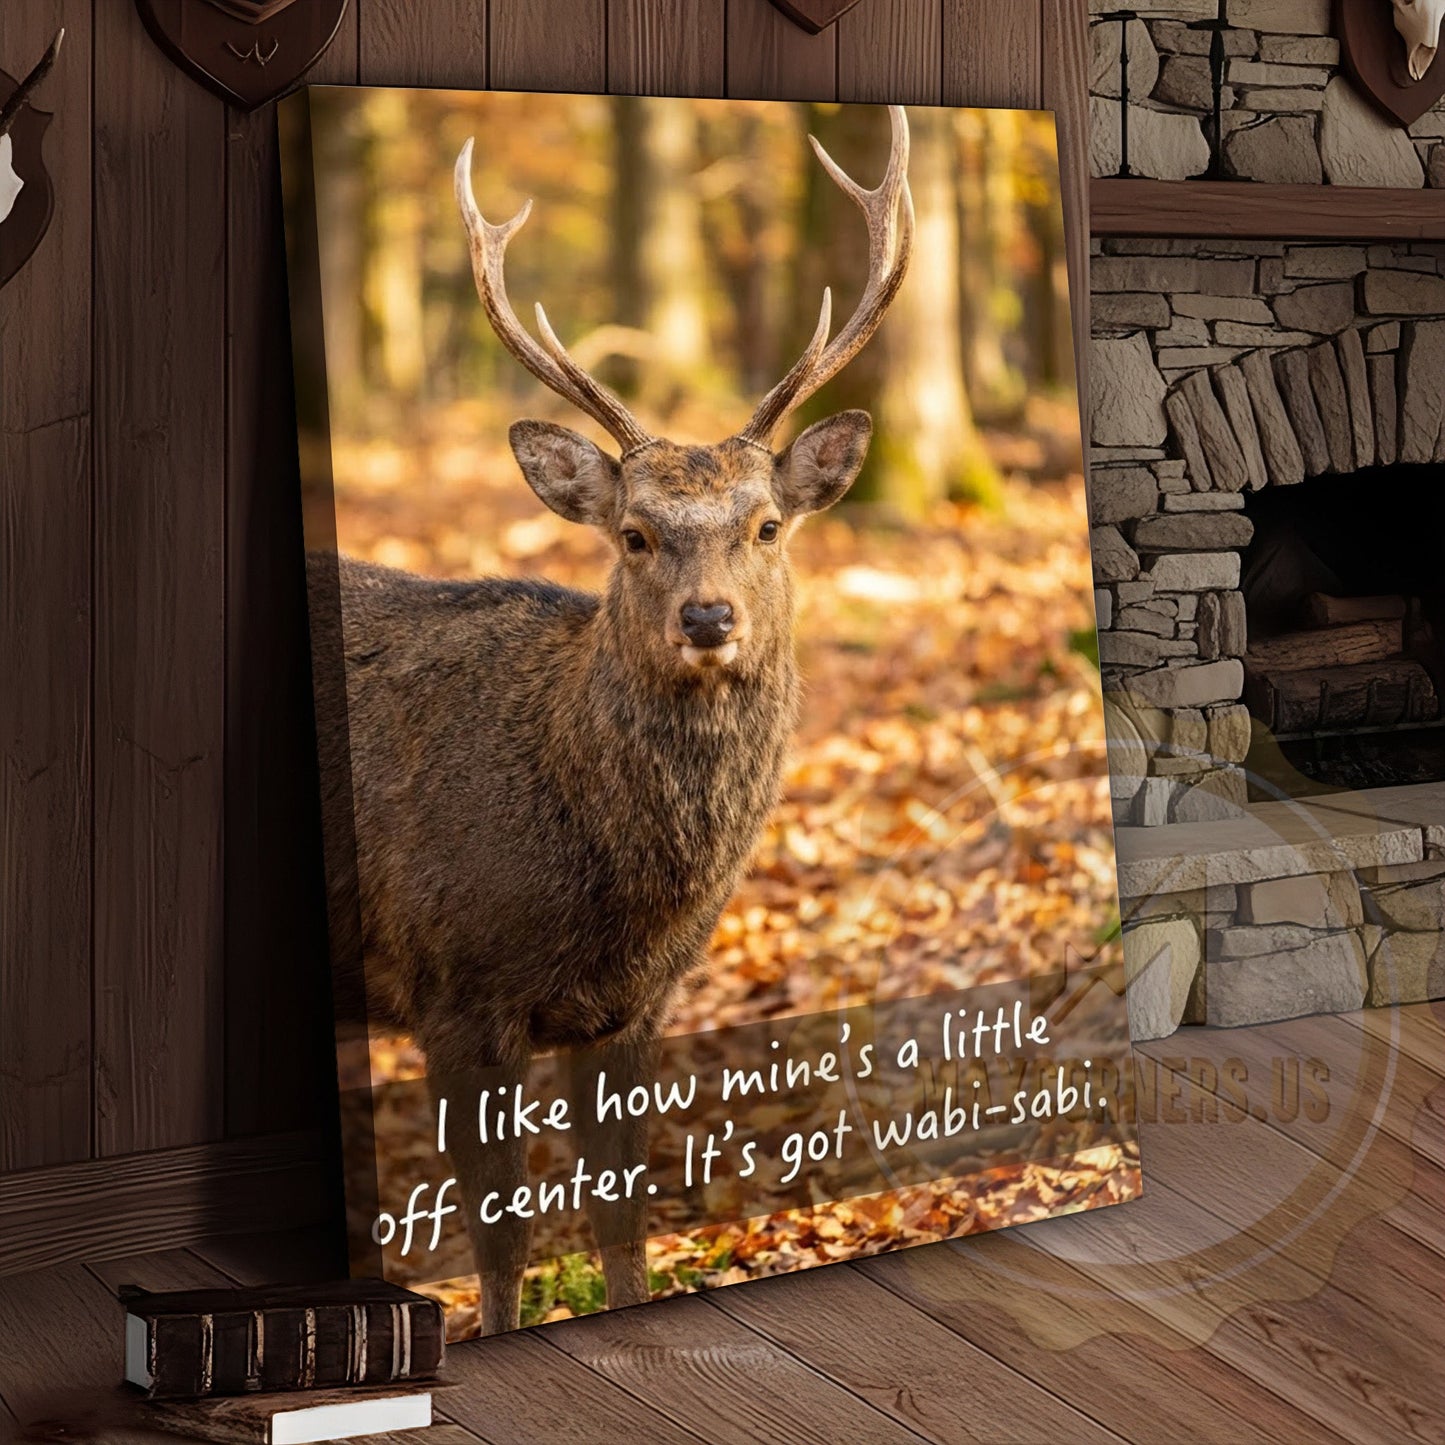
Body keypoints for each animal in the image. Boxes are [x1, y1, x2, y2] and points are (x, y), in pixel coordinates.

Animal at [311, 105, 912, 1336]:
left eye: (768, 523)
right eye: (634, 533)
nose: (708, 616)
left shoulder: (631, 1010)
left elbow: (621, 1219)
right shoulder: (454, 988)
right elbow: (499, 1239)